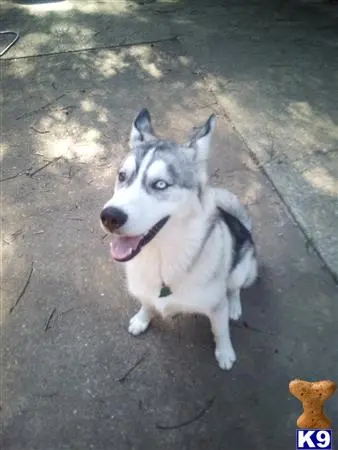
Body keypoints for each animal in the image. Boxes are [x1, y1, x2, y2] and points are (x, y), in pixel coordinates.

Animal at [100, 109, 258, 370]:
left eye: (160, 184)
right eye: (122, 176)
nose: (110, 216)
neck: (160, 257)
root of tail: (242, 224)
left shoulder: (216, 305)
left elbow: (221, 330)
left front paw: (225, 352)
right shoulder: (145, 289)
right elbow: (147, 302)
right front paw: (142, 318)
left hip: (242, 268)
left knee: (235, 288)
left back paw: (235, 306)